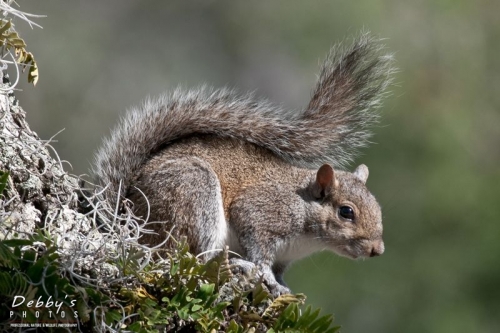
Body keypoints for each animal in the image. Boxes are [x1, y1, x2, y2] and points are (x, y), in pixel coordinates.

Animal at [92, 32, 392, 294]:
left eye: (377, 207)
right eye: (346, 212)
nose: (377, 250)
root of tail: (127, 218)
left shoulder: (285, 256)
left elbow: (279, 272)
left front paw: (282, 286)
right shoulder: (261, 213)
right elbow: (259, 251)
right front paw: (265, 277)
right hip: (193, 194)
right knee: (189, 258)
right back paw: (235, 264)